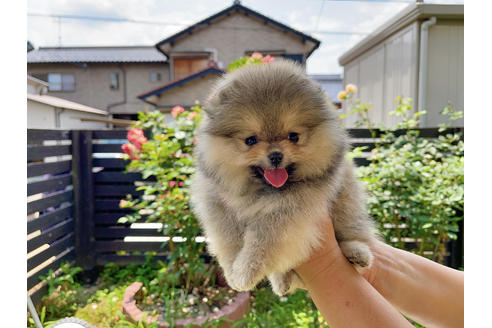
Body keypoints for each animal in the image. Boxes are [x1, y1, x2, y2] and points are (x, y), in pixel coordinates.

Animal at [191, 59, 376, 298]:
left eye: (293, 136)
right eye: (251, 140)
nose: (276, 155)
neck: (261, 192)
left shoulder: (288, 213)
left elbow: (262, 242)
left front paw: (245, 272)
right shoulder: (219, 207)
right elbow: (229, 242)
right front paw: (233, 273)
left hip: (347, 200)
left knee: (355, 232)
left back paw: (357, 253)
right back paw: (282, 280)